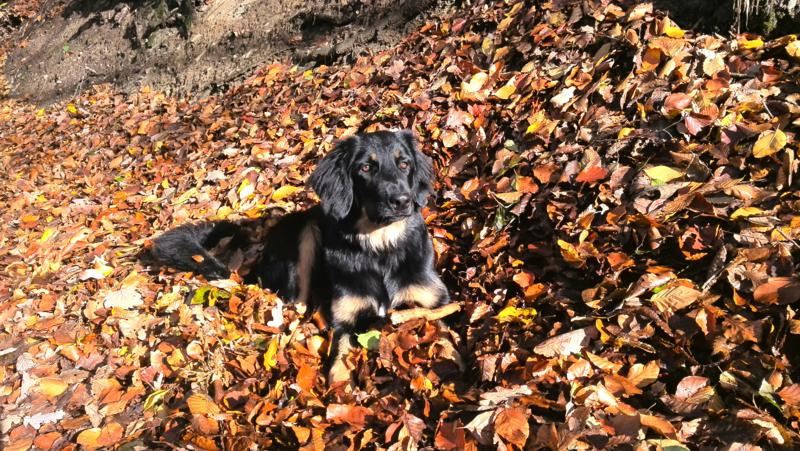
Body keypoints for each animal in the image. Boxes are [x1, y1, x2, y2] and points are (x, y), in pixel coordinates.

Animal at [148, 130, 450, 384]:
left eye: (404, 164)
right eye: (366, 168)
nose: (402, 201)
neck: (380, 247)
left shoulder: (435, 300)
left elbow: (444, 335)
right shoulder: (345, 319)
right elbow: (339, 361)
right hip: (304, 234)